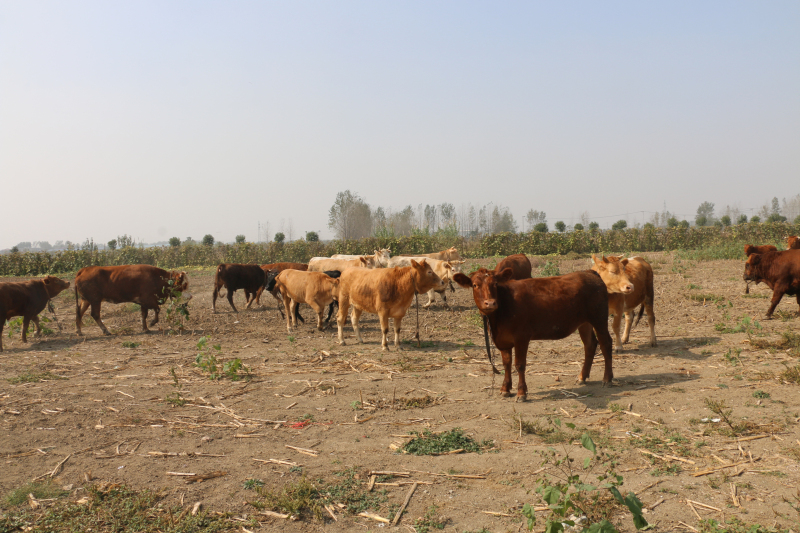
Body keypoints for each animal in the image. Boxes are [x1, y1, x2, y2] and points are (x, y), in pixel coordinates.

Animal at [454, 268, 616, 402]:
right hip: (584, 323)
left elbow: (519, 365)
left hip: (599, 318)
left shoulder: (521, 337)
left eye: (495, 284)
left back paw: (607, 379)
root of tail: (588, 272)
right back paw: (582, 377)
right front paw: (505, 389)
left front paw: (521, 393)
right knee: (590, 344)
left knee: (606, 343)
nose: (490, 303)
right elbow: (506, 363)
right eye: (475, 285)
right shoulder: (503, 340)